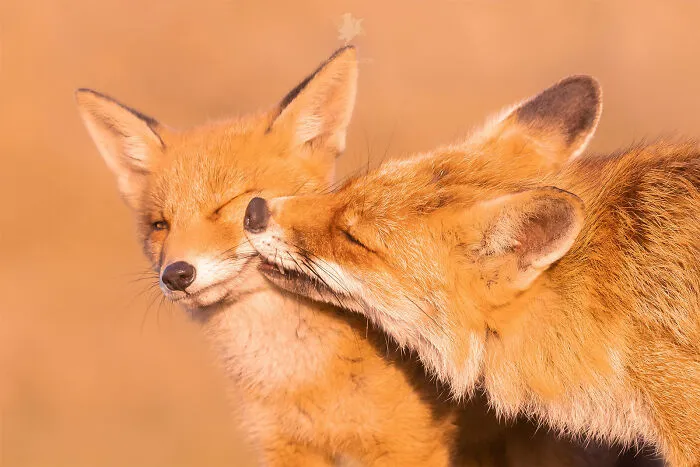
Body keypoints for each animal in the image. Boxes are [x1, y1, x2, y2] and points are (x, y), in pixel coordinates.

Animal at [74, 47, 631, 467]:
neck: (299, 381)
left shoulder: (407, 447)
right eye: (159, 226)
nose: (177, 274)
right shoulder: (286, 450)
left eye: (232, 206)